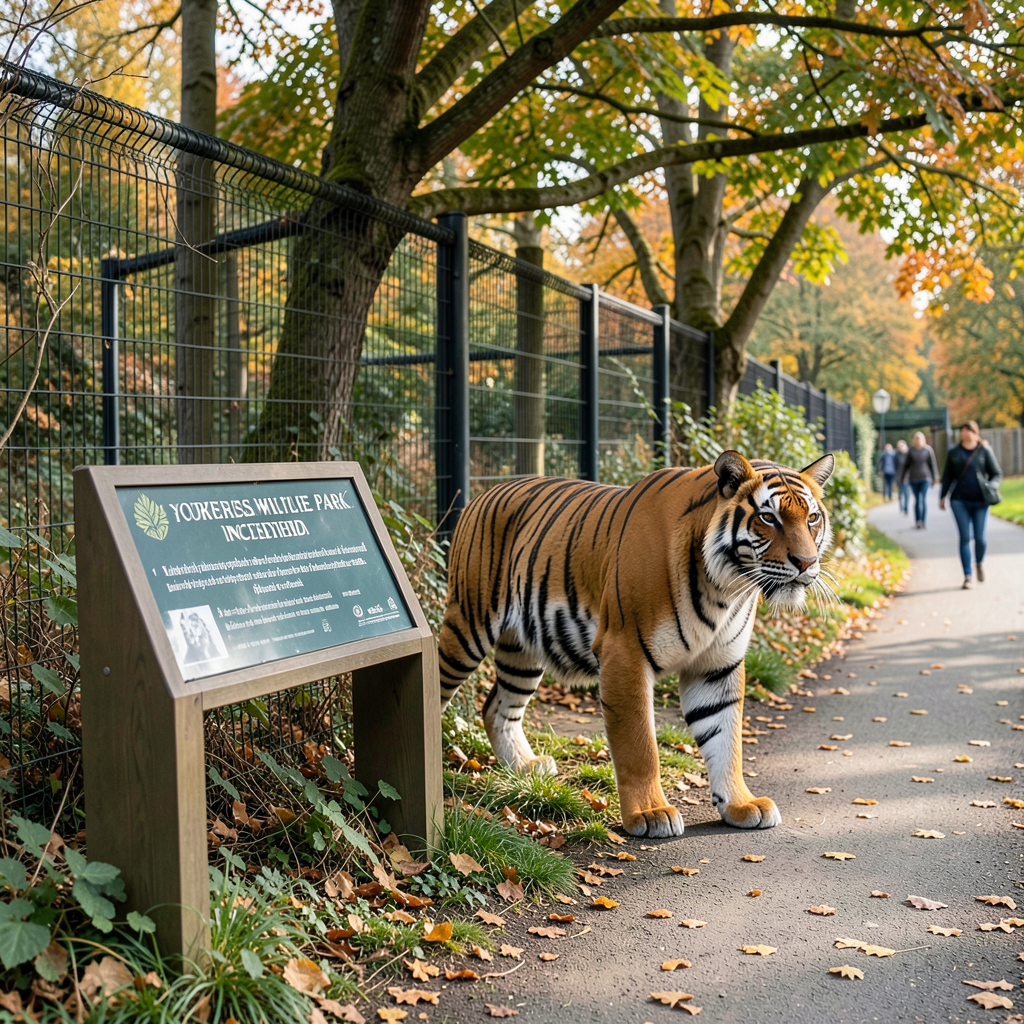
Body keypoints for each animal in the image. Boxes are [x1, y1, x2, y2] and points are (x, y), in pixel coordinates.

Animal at [436, 450, 835, 838]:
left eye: (812, 517)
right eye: (769, 517)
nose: (806, 562)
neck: (726, 587)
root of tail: (482, 493)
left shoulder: (717, 665)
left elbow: (726, 739)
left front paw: (740, 805)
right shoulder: (624, 652)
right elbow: (639, 744)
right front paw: (649, 813)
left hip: (522, 649)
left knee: (497, 707)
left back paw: (525, 767)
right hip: (467, 626)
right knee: (439, 690)